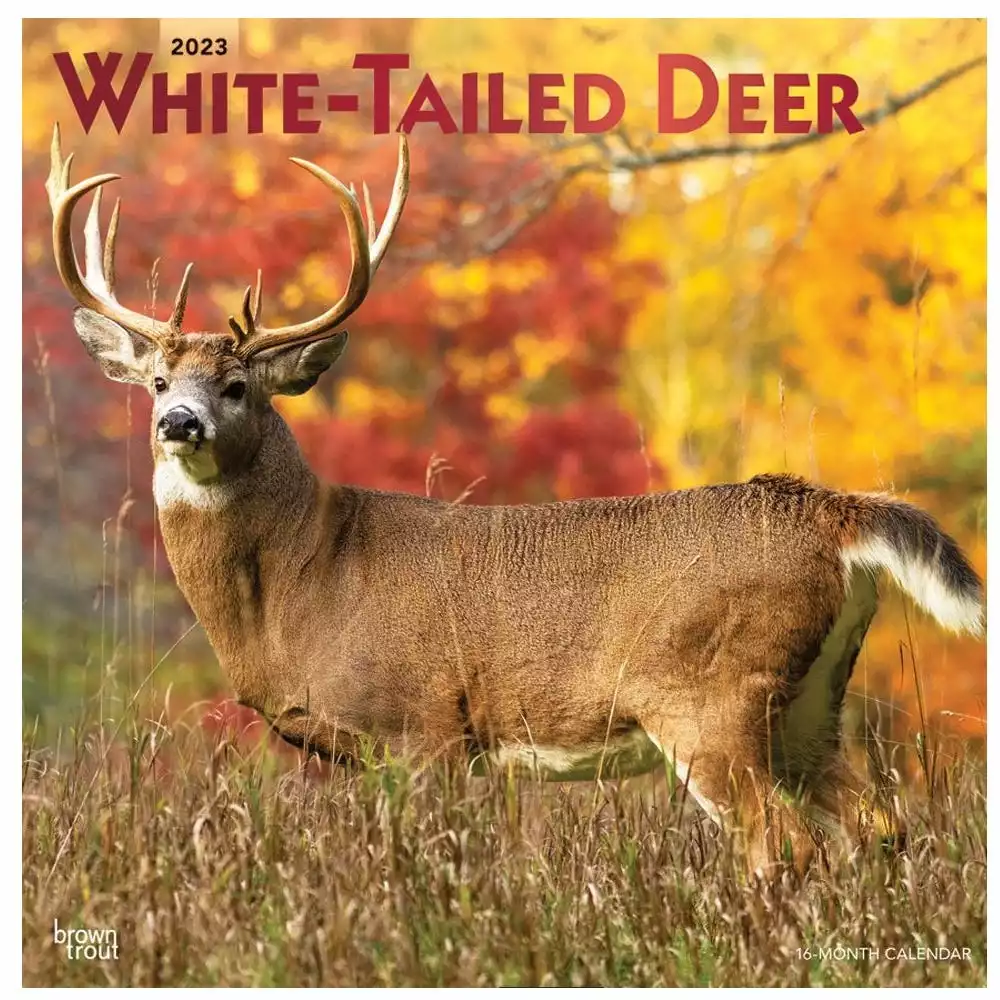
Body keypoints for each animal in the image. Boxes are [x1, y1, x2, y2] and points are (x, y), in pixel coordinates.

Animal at [45, 124, 984, 873]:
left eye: (237, 386)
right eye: (157, 380)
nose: (178, 422)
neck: (304, 578)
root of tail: (830, 512)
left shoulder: (423, 725)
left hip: (712, 696)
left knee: (782, 845)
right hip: (811, 701)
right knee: (882, 824)